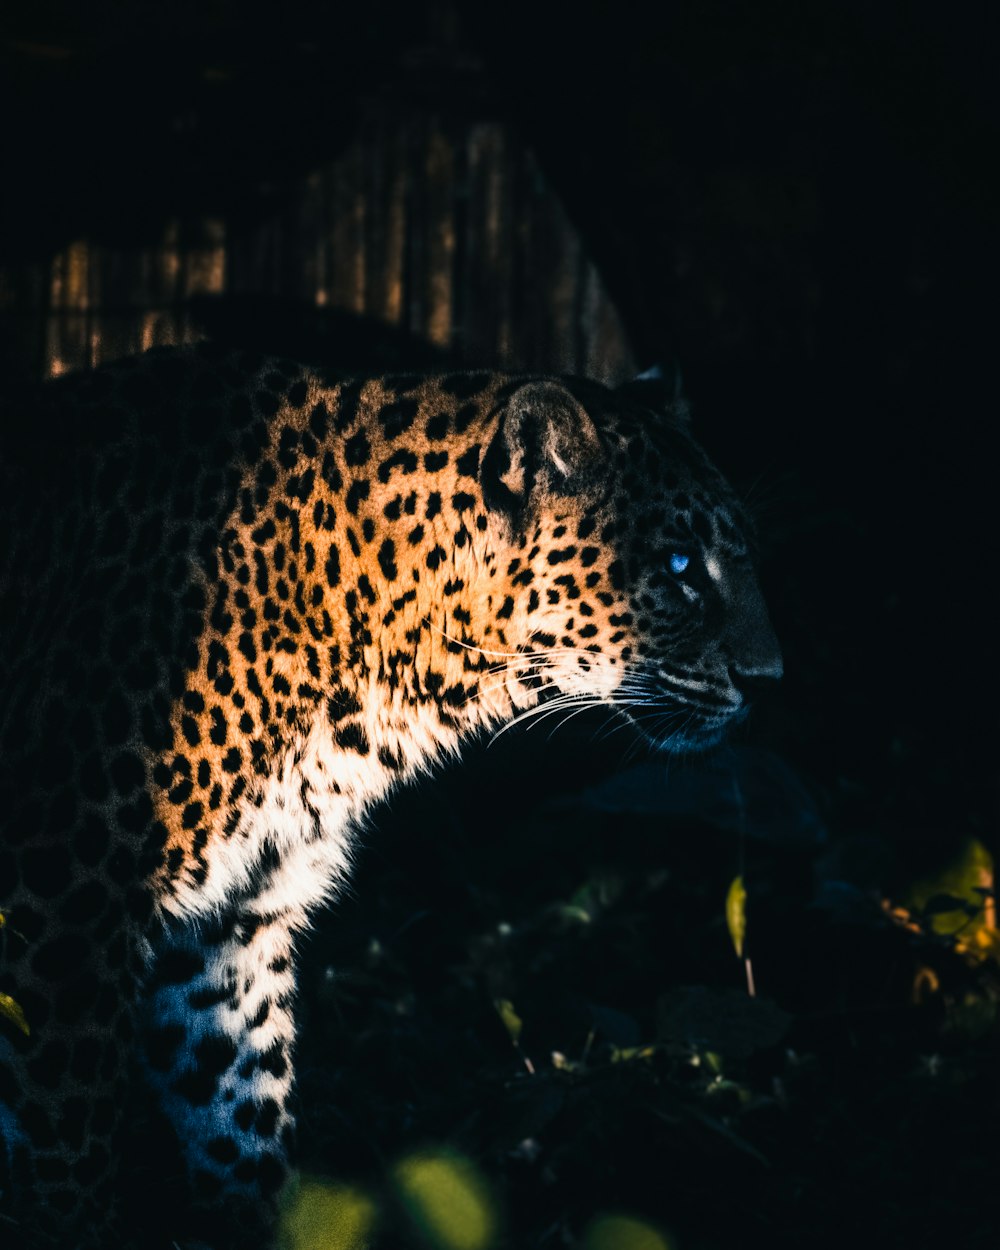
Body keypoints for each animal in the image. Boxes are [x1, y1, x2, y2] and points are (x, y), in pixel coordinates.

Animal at [0, 345, 780, 1250]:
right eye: (681, 568)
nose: (771, 680)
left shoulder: (227, 934)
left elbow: (241, 1124)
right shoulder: (64, 915)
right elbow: (69, 1157)